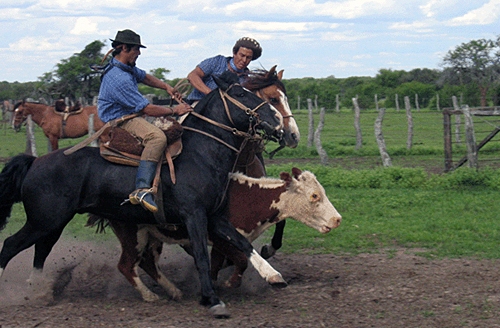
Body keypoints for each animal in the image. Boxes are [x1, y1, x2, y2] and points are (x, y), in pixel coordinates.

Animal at [0, 72, 284, 318]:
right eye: (240, 93)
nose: (278, 120)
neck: (199, 155)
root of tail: (35, 162)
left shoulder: (214, 216)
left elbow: (243, 243)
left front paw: (273, 275)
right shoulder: (194, 216)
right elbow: (203, 257)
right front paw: (212, 299)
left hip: (53, 223)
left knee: (41, 251)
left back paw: (38, 292)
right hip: (44, 221)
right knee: (11, 245)